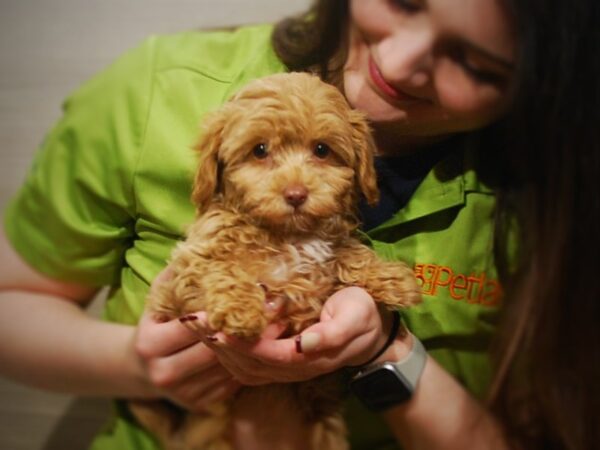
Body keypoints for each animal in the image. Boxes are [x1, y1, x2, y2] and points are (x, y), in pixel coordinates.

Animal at [130, 72, 422, 448]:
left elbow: (347, 251)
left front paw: (392, 279)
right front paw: (241, 310)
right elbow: (221, 267)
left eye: (322, 150)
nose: (296, 194)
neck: (286, 234)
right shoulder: (186, 275)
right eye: (260, 150)